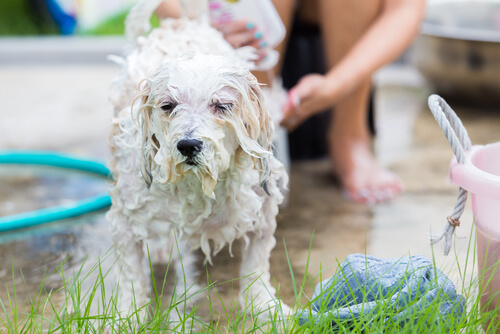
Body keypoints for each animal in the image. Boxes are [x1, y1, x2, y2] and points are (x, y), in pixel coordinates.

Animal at [107, 0, 292, 318]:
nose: (188, 145)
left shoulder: (262, 208)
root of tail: (186, 22)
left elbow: (256, 261)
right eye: (168, 106)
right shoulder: (126, 218)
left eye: (222, 105)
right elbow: (131, 275)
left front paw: (265, 305)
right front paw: (127, 316)